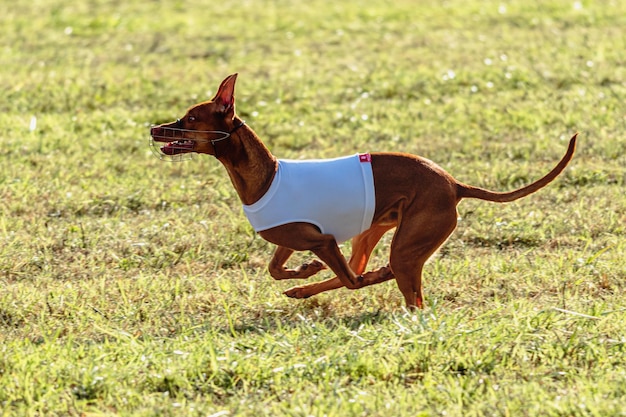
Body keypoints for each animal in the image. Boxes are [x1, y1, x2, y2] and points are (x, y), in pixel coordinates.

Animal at [150, 74, 576, 308]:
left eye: (190, 118)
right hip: (372, 230)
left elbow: (347, 277)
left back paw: (375, 279)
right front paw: (304, 271)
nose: (154, 128)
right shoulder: (294, 238)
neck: (266, 176)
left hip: (405, 245)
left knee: (391, 285)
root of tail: (454, 183)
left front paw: (314, 271)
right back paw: (307, 289)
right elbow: (275, 269)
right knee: (360, 270)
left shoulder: (321, 239)